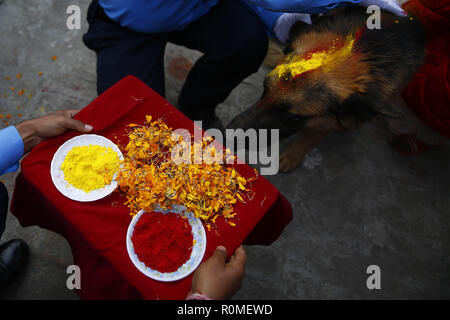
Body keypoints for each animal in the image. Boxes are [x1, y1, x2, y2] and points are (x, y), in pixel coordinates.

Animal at [229, 5, 426, 172]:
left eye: (293, 116)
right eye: (265, 88)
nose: (229, 133)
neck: (368, 49)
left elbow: (315, 134)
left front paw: (294, 154)